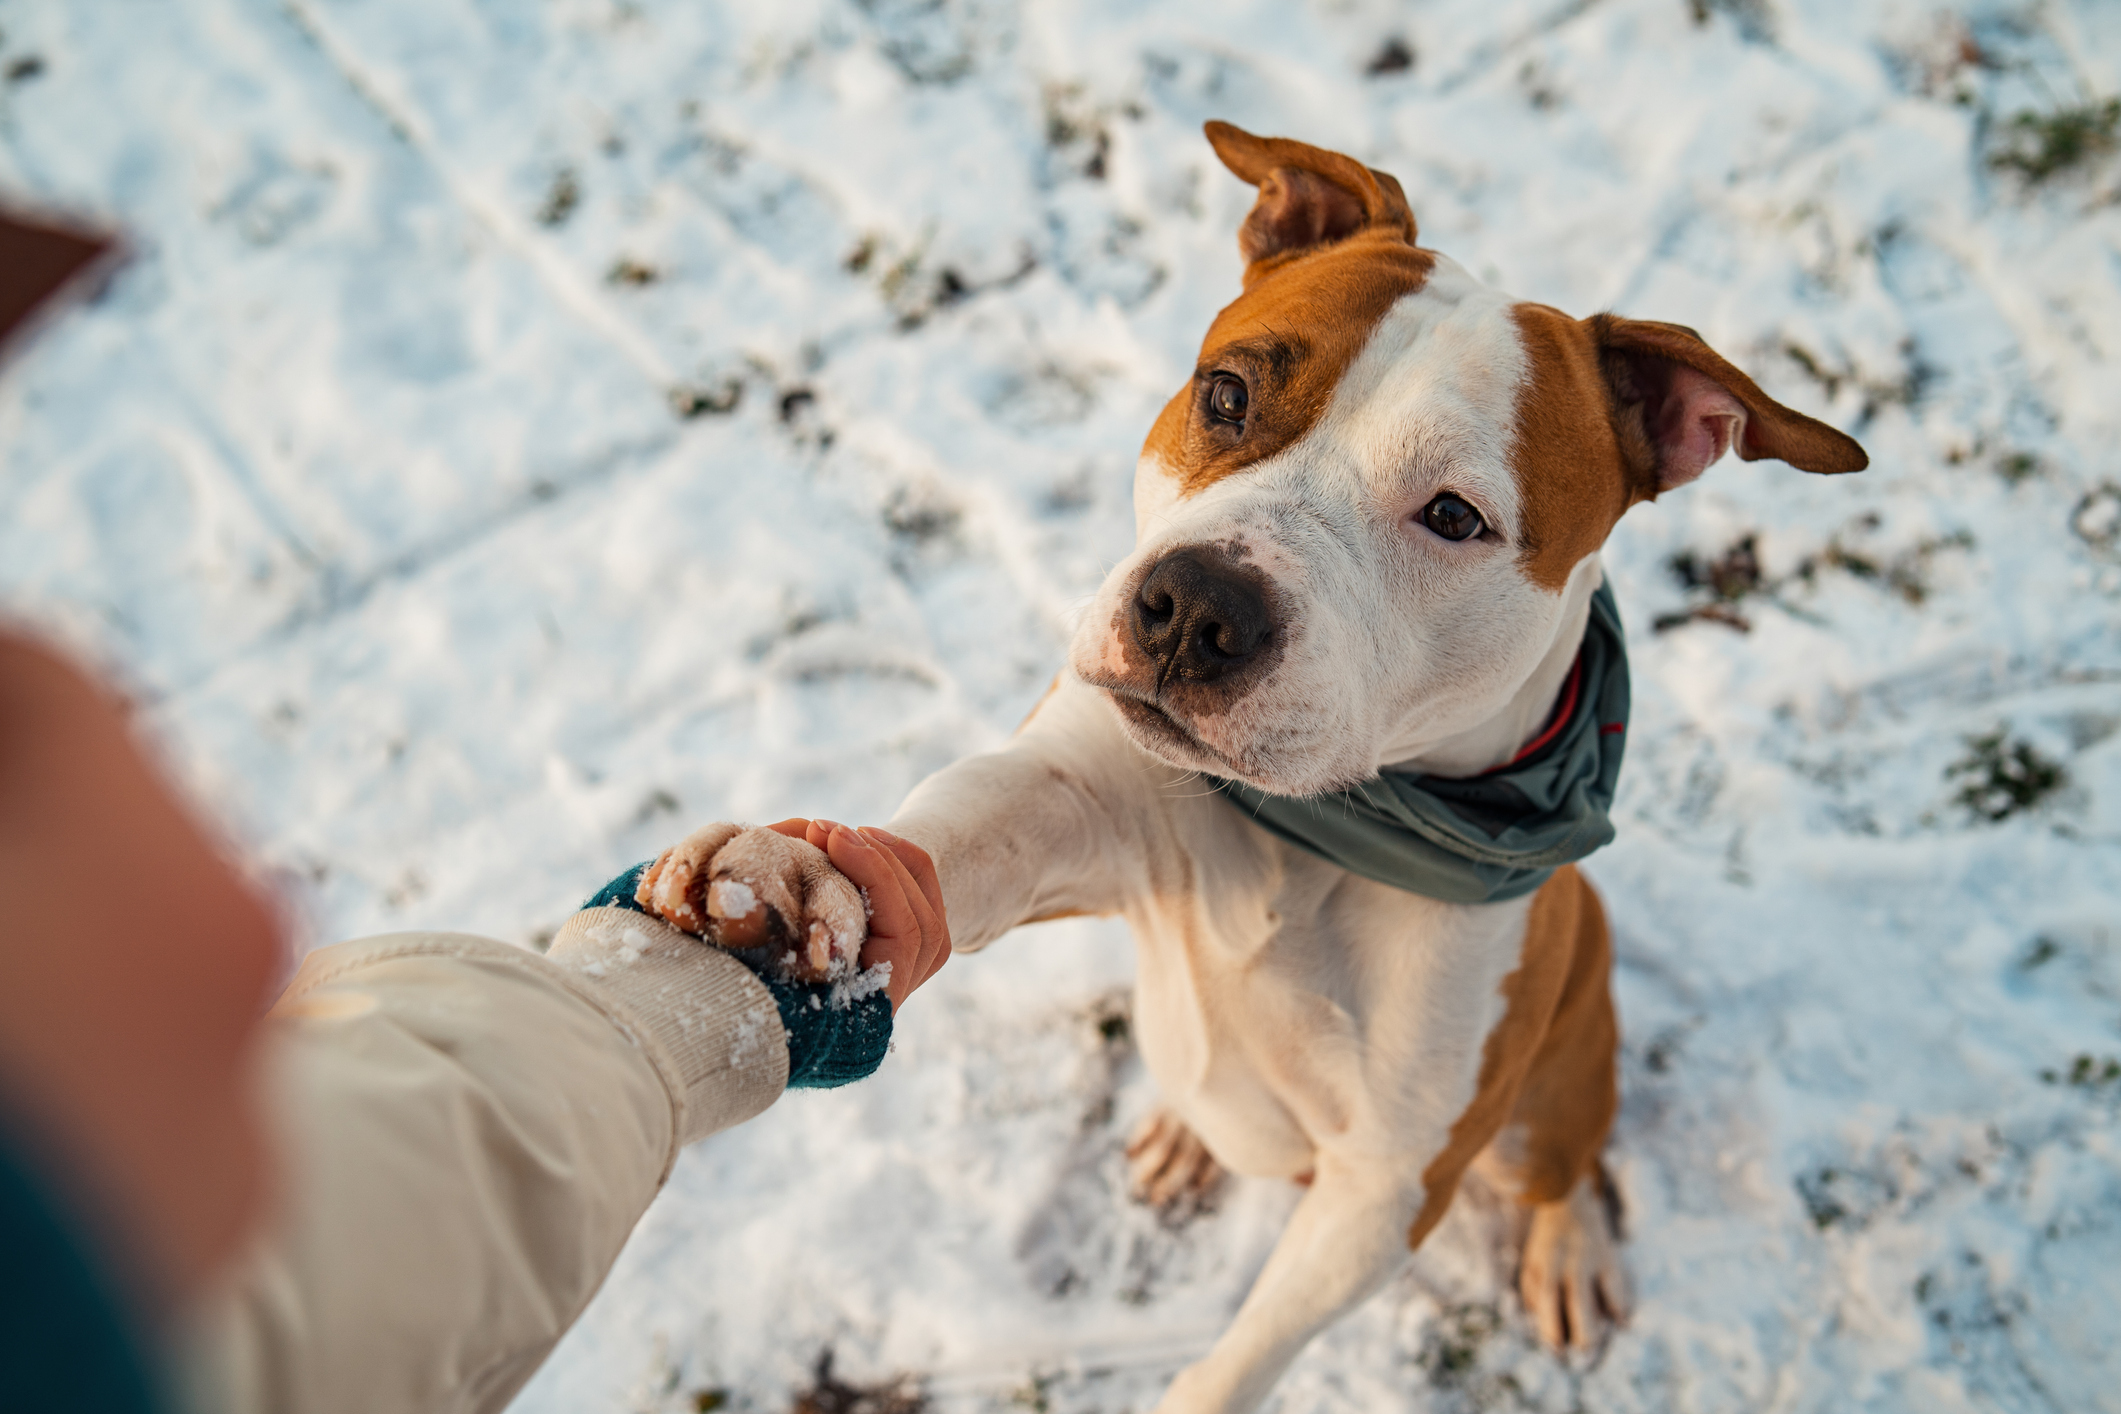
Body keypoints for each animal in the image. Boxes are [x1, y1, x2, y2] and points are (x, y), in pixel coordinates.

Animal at [636, 124, 1866, 1414]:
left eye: (1455, 516)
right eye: (1227, 393)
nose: (1195, 609)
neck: (1318, 828)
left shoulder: (1388, 1188)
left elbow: (1241, 1357)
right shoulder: (1073, 799)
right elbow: (956, 838)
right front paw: (795, 877)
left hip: (1555, 1086)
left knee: (1562, 1166)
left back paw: (1569, 1246)